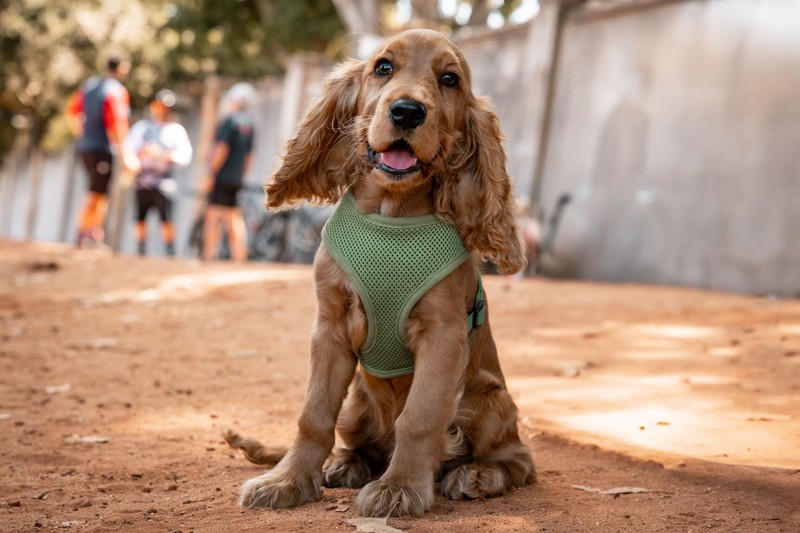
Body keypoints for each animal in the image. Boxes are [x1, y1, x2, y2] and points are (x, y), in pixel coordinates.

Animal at [228, 28, 536, 516]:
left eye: (449, 79)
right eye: (383, 67)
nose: (407, 111)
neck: (391, 216)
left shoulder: (443, 335)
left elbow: (420, 417)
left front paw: (400, 488)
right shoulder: (329, 326)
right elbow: (313, 415)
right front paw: (289, 481)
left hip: (492, 402)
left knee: (520, 460)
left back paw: (477, 474)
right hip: (357, 402)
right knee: (357, 444)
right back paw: (342, 465)